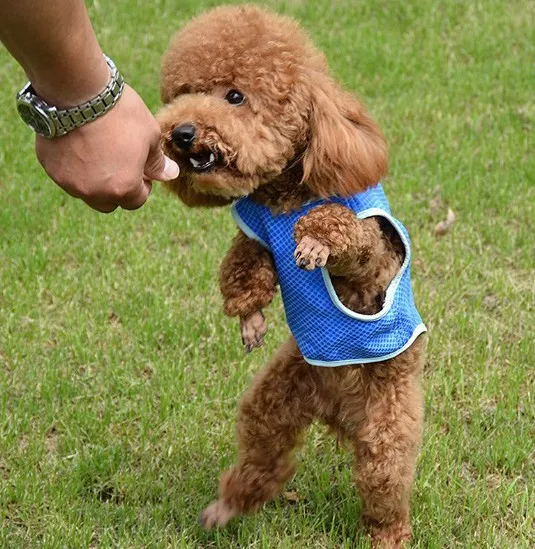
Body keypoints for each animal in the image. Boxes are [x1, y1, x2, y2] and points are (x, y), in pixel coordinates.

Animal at [158, 5, 428, 548]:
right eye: (184, 93)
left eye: (235, 96)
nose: (182, 133)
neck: (283, 195)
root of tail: (340, 411)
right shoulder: (254, 231)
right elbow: (246, 265)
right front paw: (249, 320)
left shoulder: (371, 254)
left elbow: (351, 241)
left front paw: (317, 239)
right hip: (278, 398)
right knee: (264, 456)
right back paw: (228, 506)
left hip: (386, 426)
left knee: (385, 483)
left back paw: (387, 534)